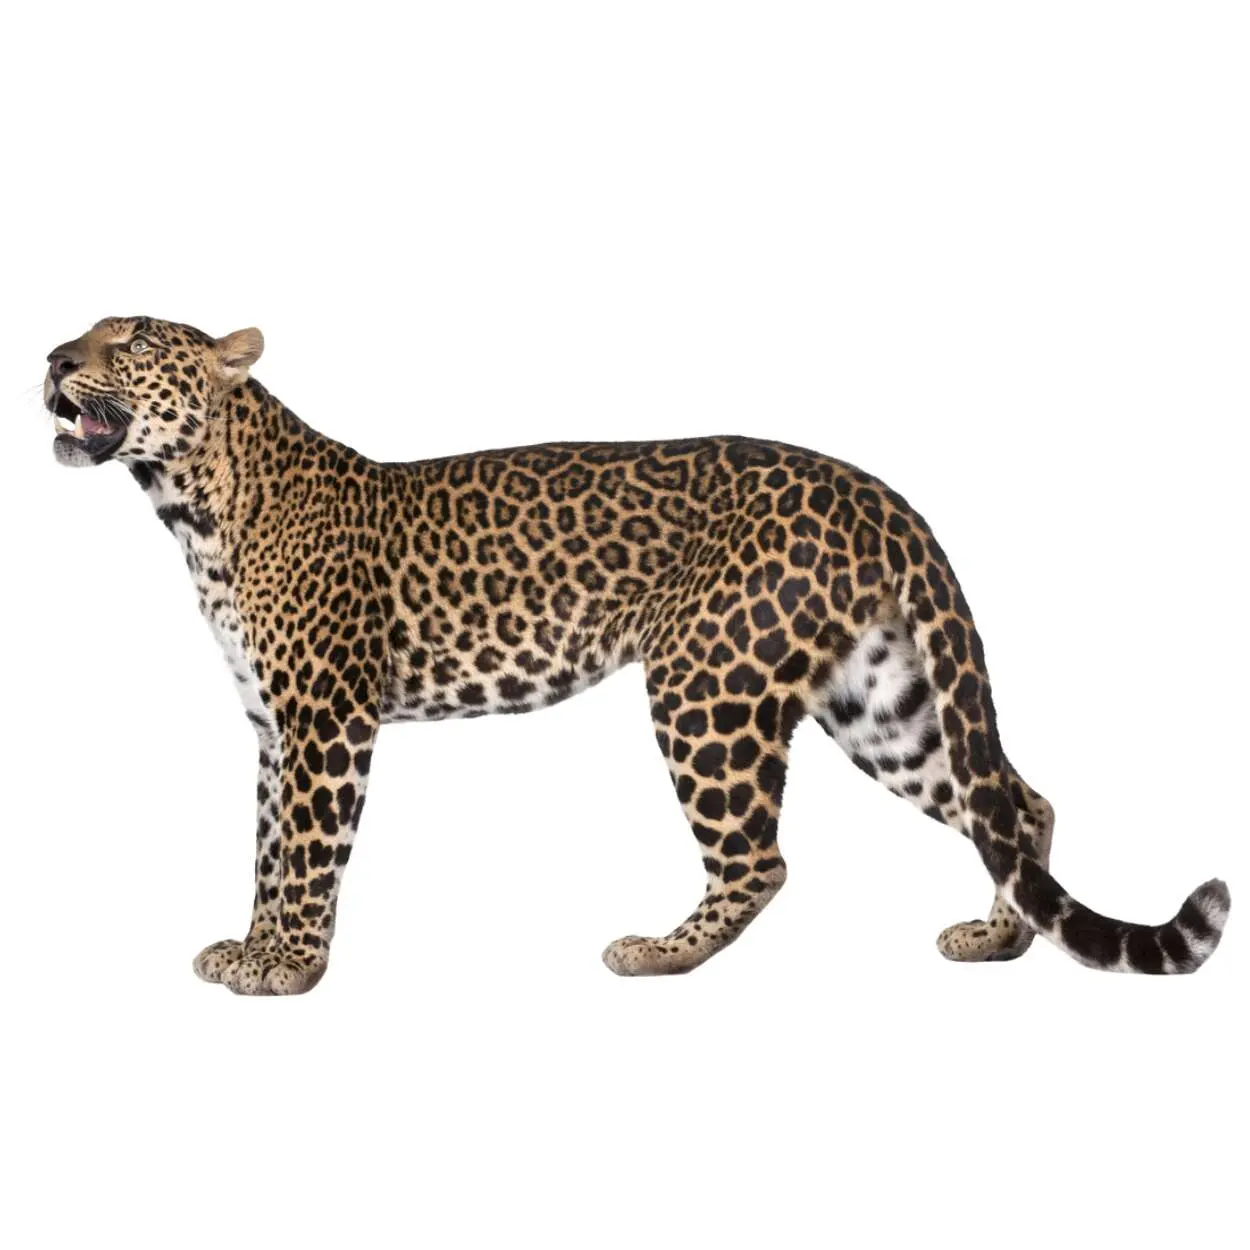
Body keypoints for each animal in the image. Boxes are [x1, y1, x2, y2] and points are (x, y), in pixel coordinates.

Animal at [43, 316, 1231, 994]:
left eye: (130, 340)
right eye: (85, 335)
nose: (51, 359)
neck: (192, 504)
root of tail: (878, 494)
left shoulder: (326, 718)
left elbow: (304, 852)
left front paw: (286, 967)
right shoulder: (270, 726)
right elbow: (262, 847)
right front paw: (247, 946)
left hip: (706, 681)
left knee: (761, 859)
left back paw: (660, 952)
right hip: (881, 699)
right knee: (1016, 803)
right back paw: (997, 937)